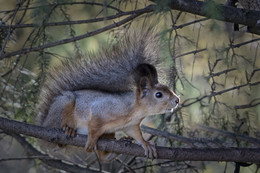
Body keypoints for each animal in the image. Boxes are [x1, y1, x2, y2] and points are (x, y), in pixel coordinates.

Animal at [38, 28, 180, 159]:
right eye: (158, 94)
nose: (177, 100)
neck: (135, 109)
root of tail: (44, 122)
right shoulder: (100, 110)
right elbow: (94, 127)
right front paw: (91, 140)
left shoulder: (131, 125)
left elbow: (137, 135)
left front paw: (146, 144)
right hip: (64, 105)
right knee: (59, 125)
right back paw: (67, 129)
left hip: (108, 134)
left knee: (103, 156)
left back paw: (118, 146)